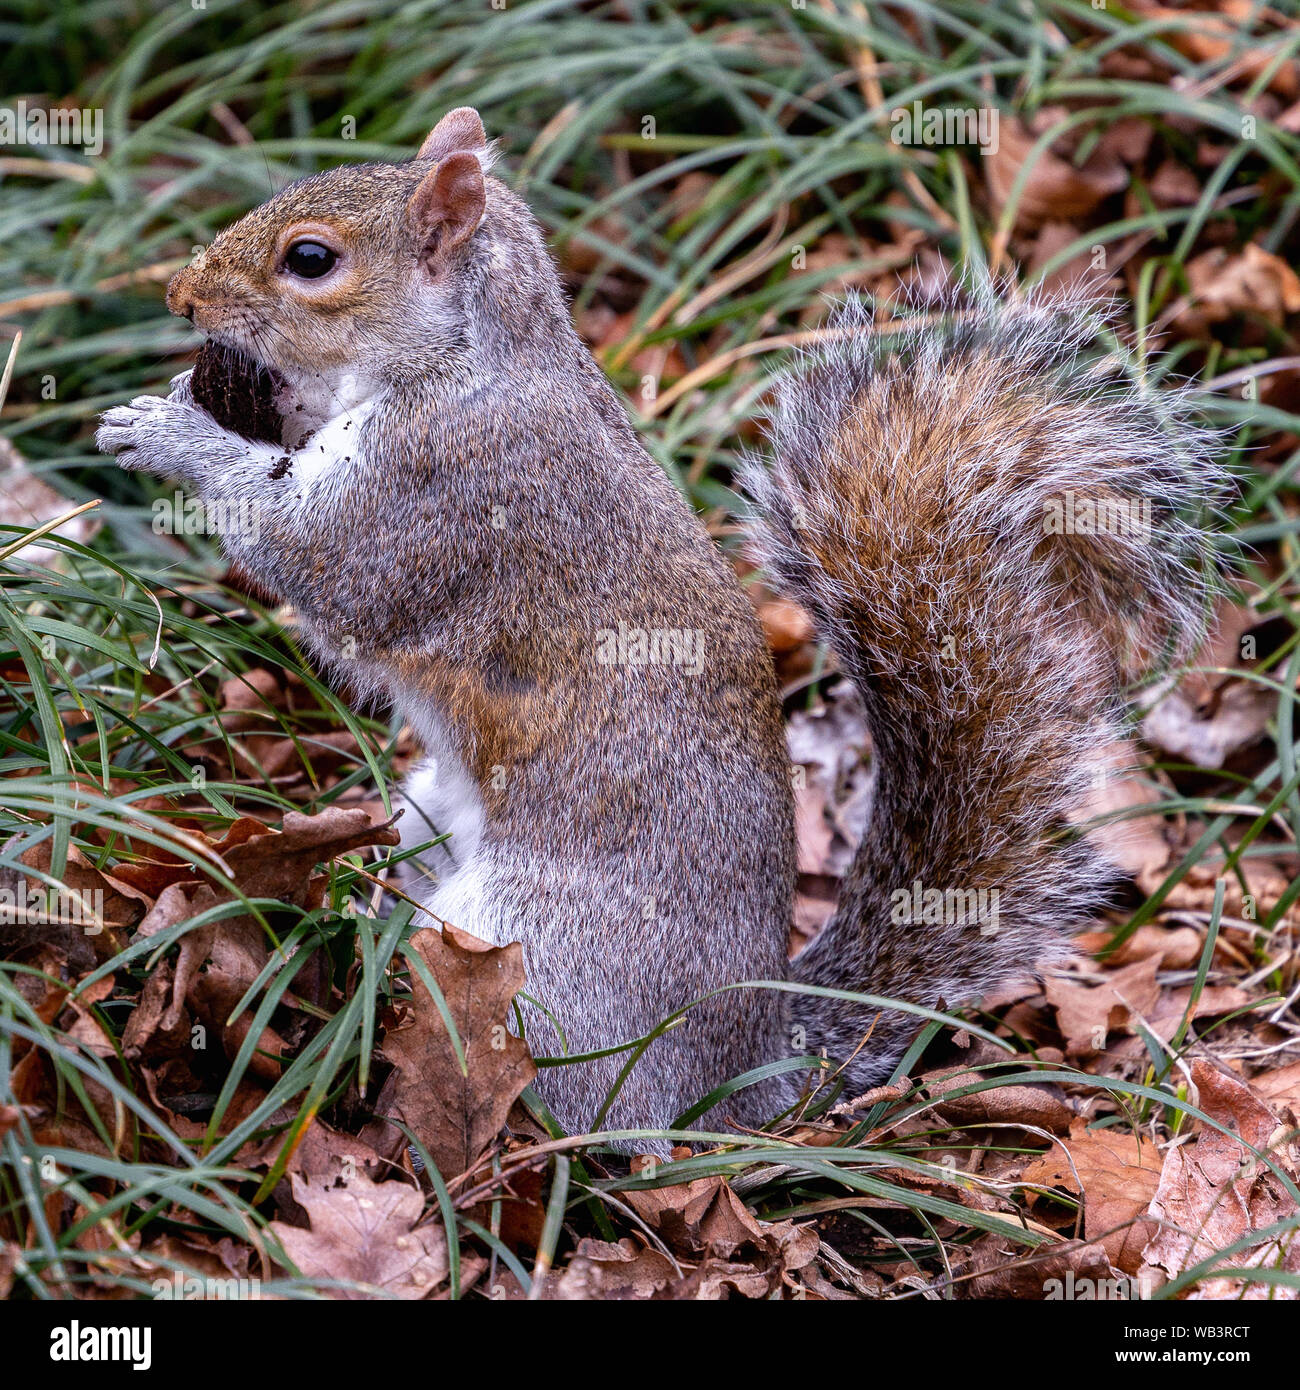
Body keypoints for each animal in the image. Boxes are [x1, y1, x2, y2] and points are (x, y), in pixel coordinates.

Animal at [97, 107, 1221, 1144]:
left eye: (312, 259)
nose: (182, 298)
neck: (465, 359)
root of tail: (734, 1062)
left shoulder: (445, 486)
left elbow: (324, 563)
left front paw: (173, 431)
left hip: (542, 959)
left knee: (569, 1103)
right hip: (428, 819)